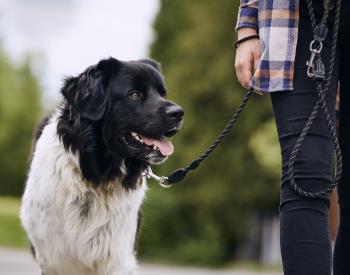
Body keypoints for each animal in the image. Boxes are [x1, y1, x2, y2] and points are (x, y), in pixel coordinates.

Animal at [19, 57, 183, 274]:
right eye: (134, 94)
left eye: (162, 93)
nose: (179, 113)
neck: (97, 176)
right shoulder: (53, 258)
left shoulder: (117, 255)